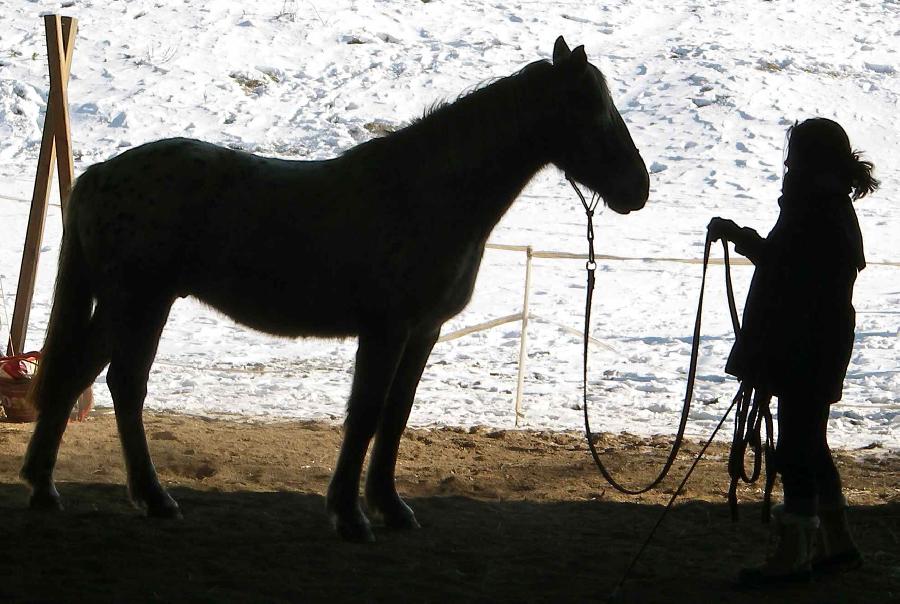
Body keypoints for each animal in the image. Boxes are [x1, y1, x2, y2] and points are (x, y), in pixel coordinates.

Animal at [22, 37, 648, 544]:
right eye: (592, 110)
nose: (637, 189)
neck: (425, 193)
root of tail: (99, 174)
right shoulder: (386, 330)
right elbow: (366, 414)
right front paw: (350, 516)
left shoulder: (422, 332)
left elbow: (396, 415)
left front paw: (391, 508)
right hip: (140, 303)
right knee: (124, 386)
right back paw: (152, 498)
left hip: (123, 306)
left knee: (76, 374)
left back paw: (44, 487)